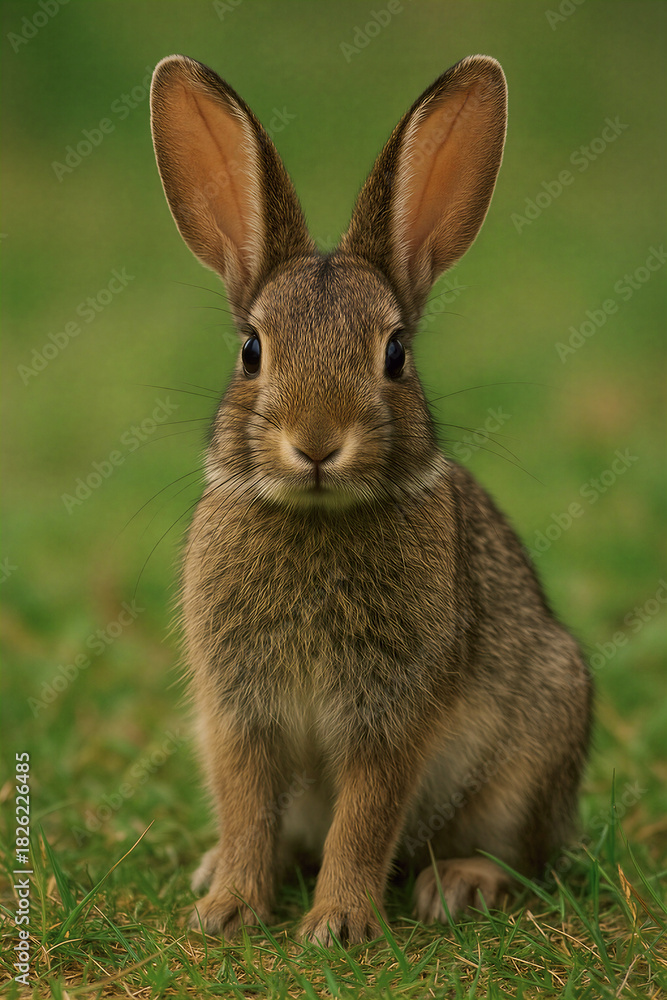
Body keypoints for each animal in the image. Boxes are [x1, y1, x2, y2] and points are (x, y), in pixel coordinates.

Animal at [149, 53, 592, 945]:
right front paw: (227, 907)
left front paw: (338, 924)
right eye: (251, 350)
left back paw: (457, 885)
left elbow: (365, 816)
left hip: (535, 747)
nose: (317, 442)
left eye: (395, 354)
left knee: (521, 856)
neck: (318, 519)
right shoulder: (238, 711)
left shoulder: (393, 714)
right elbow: (247, 806)